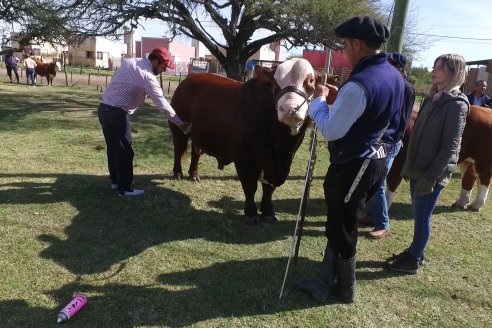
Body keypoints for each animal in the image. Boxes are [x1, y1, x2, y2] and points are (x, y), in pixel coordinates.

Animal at [169, 57, 316, 224]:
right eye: (275, 84)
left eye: (311, 82)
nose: (290, 109)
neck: (280, 145)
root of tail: (189, 78)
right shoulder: (244, 157)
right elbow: (250, 186)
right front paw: (251, 213)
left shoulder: (284, 160)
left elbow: (269, 189)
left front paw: (268, 212)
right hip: (178, 128)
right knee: (178, 148)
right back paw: (178, 173)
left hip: (199, 133)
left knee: (196, 152)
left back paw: (194, 174)